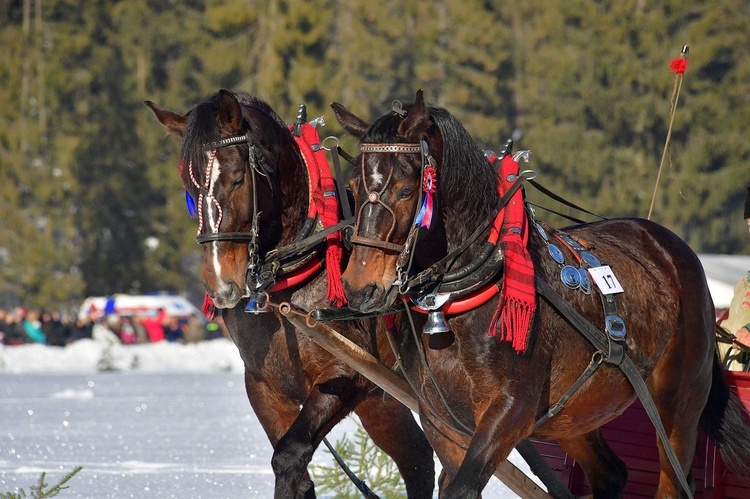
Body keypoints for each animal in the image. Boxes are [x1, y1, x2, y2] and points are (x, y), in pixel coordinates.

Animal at [146, 91, 434, 499]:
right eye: (189, 185)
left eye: (237, 179)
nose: (221, 283)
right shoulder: (263, 385)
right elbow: (298, 477)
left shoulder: (346, 373)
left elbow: (288, 457)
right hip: (383, 401)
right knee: (419, 460)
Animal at [334, 91, 750, 499]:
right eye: (352, 189)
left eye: (406, 190)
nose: (360, 286)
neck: (456, 301)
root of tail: (673, 250)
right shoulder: (441, 419)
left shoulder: (511, 409)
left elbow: (462, 487)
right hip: (578, 412)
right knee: (611, 474)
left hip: (678, 405)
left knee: (673, 480)